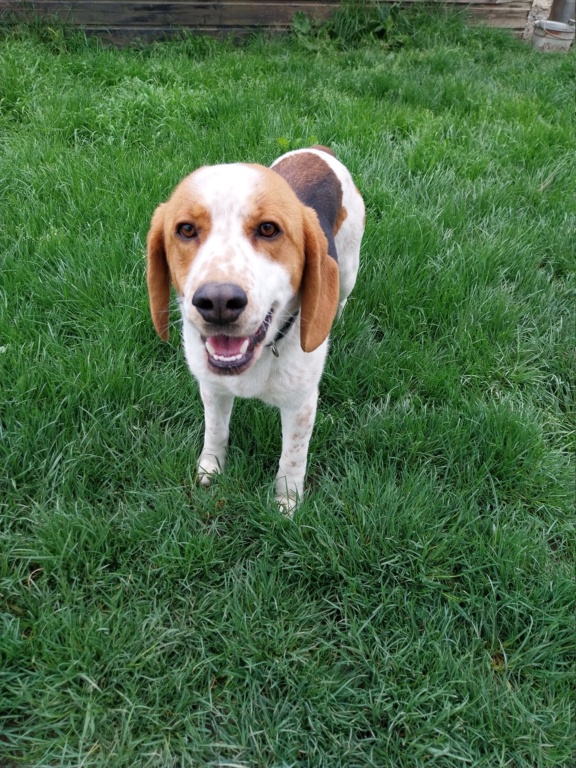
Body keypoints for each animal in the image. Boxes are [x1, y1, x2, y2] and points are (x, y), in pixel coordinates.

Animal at [147, 147, 364, 512]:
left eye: (268, 229)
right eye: (186, 230)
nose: (219, 301)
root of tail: (319, 151)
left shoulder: (301, 405)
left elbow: (292, 458)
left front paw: (287, 502)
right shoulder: (212, 388)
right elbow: (216, 431)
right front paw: (211, 468)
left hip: (348, 267)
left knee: (343, 296)